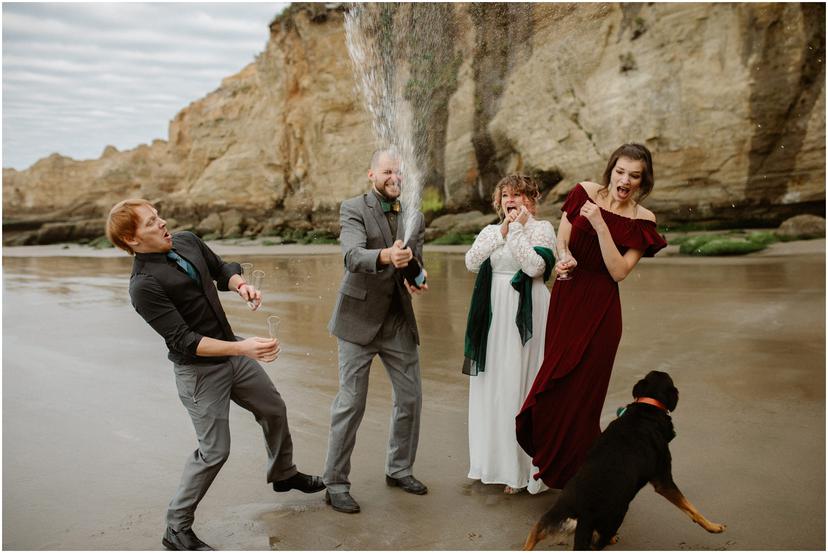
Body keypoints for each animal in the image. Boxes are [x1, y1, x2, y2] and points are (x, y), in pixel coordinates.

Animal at [524, 370, 724, 548]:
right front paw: (713, 527)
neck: (647, 408)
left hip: (555, 515)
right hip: (615, 517)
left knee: (534, 531)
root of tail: (584, 513)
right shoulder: (663, 479)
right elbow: (690, 507)